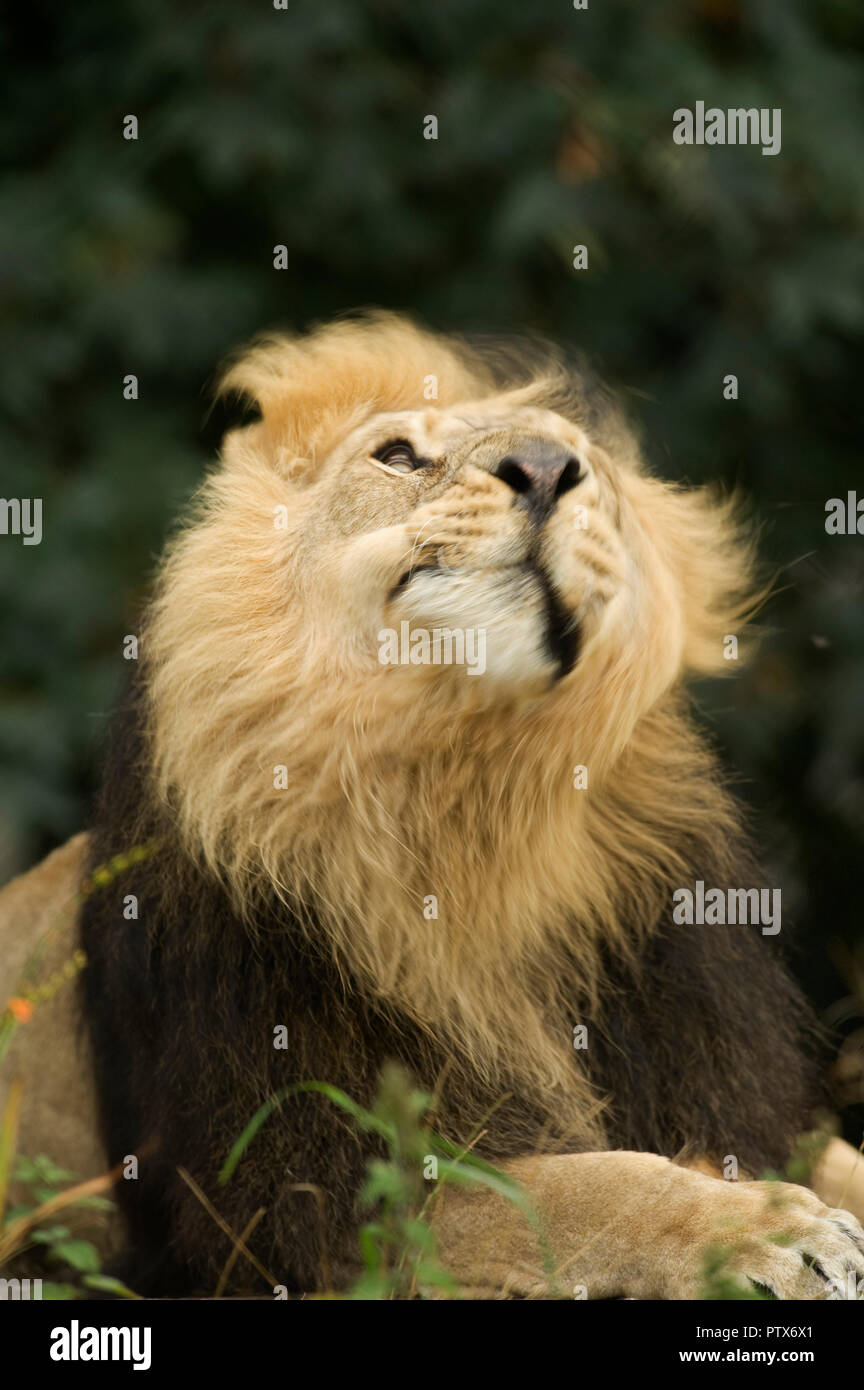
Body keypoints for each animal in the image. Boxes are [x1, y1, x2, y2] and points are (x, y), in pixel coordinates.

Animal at [2, 311, 864, 1299]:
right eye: (398, 456)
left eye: (586, 468)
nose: (544, 468)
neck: (472, 790)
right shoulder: (301, 1204)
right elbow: (579, 1191)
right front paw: (765, 1230)